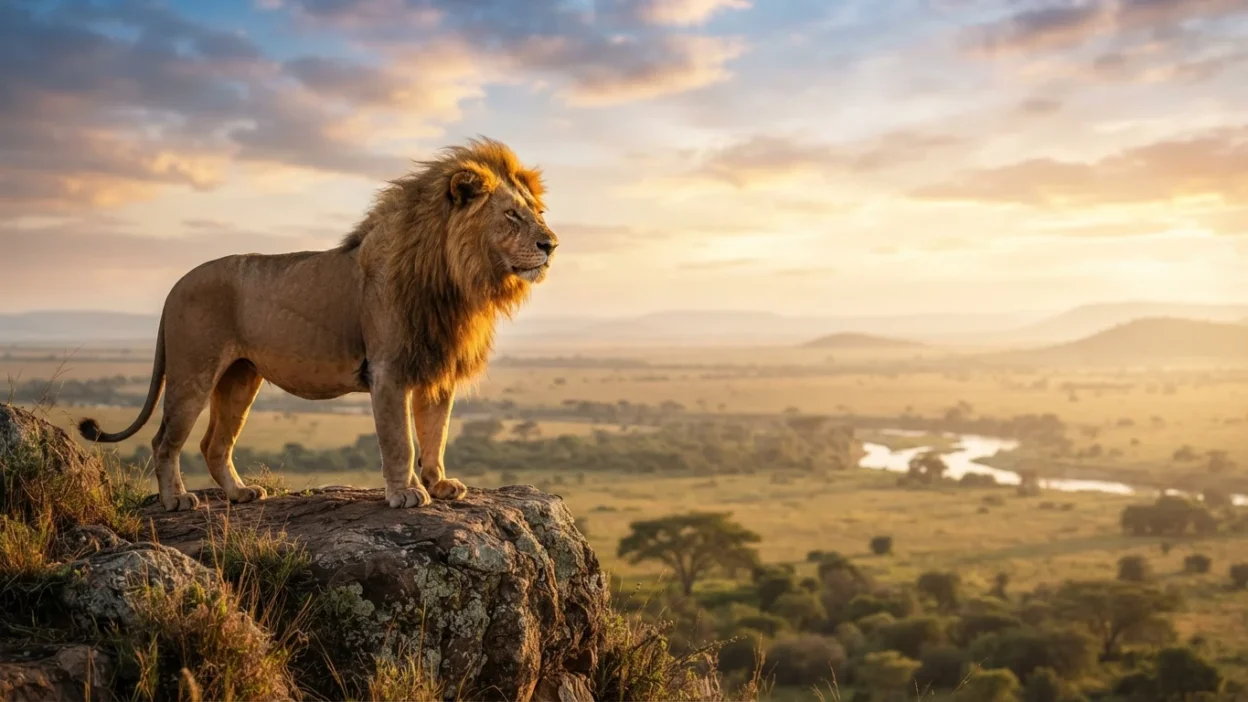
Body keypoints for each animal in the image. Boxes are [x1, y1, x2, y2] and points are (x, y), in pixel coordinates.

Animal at [79, 137, 558, 512]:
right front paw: (405, 494)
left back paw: (239, 493)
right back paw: (176, 499)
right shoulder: (388, 370)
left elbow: (434, 433)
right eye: (511, 215)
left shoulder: (435, 369)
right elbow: (399, 440)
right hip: (192, 372)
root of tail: (175, 285)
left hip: (239, 378)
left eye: (536, 211)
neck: (457, 282)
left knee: (213, 445)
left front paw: (439, 484)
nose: (551, 244)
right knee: (165, 441)